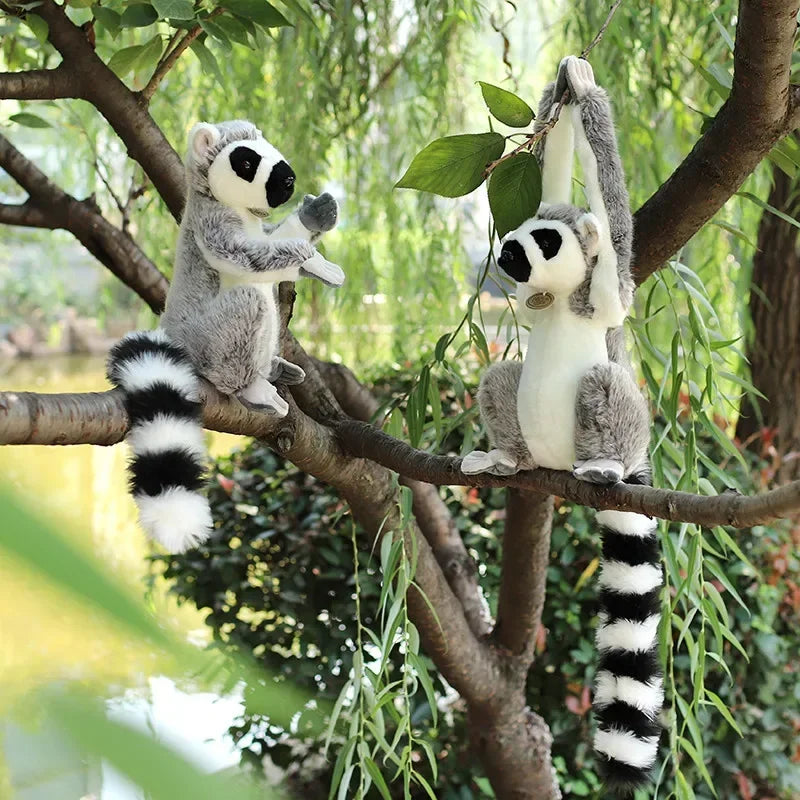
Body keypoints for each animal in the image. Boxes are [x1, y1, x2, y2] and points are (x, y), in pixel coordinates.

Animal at [107, 120, 343, 553]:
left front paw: (313, 217)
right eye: (246, 162)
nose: (288, 178)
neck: (237, 208)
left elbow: (271, 246)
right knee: (250, 302)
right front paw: (307, 255)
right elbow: (247, 254)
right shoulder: (212, 223)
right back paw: (252, 388)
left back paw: (274, 370)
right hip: (211, 340)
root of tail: (174, 333)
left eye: (269, 147)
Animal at [461, 58, 662, 794]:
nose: (510, 257)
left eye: (543, 241)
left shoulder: (606, 294)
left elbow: (613, 253)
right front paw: (565, 92)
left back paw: (604, 465)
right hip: (529, 438)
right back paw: (505, 459)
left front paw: (588, 90)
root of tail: (553, 463)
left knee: (605, 381)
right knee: (500, 378)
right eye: (517, 233)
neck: (556, 297)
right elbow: (554, 168)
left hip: (612, 429)